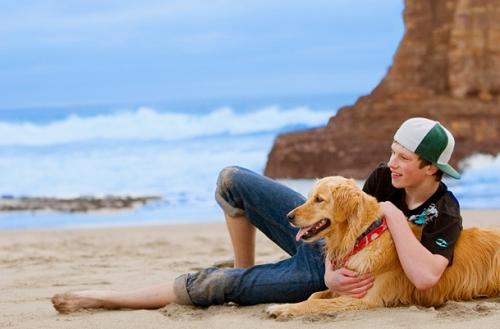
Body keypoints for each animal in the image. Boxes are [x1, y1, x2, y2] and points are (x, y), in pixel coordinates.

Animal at [268, 176, 500, 316]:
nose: (288, 216)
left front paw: (282, 308)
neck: (363, 236)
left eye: (319, 199)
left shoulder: (365, 299)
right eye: (309, 198)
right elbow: (316, 294)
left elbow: (315, 302)